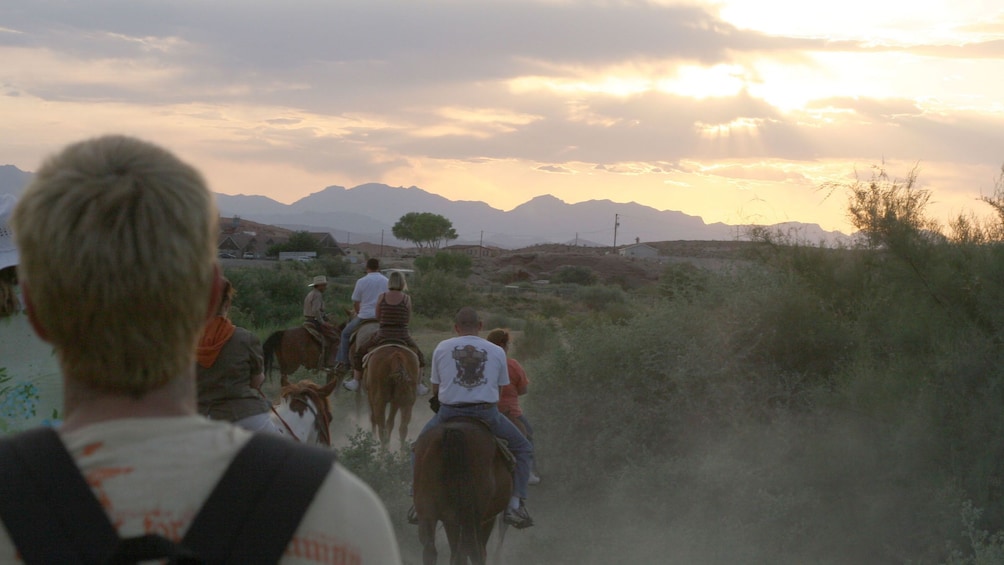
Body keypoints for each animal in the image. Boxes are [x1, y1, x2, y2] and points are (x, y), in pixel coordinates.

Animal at [413, 417, 514, 561]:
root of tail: (452, 433)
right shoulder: (487, 519)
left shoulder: (449, 520)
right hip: (470, 519)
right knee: (474, 551)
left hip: (429, 513)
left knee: (431, 548)